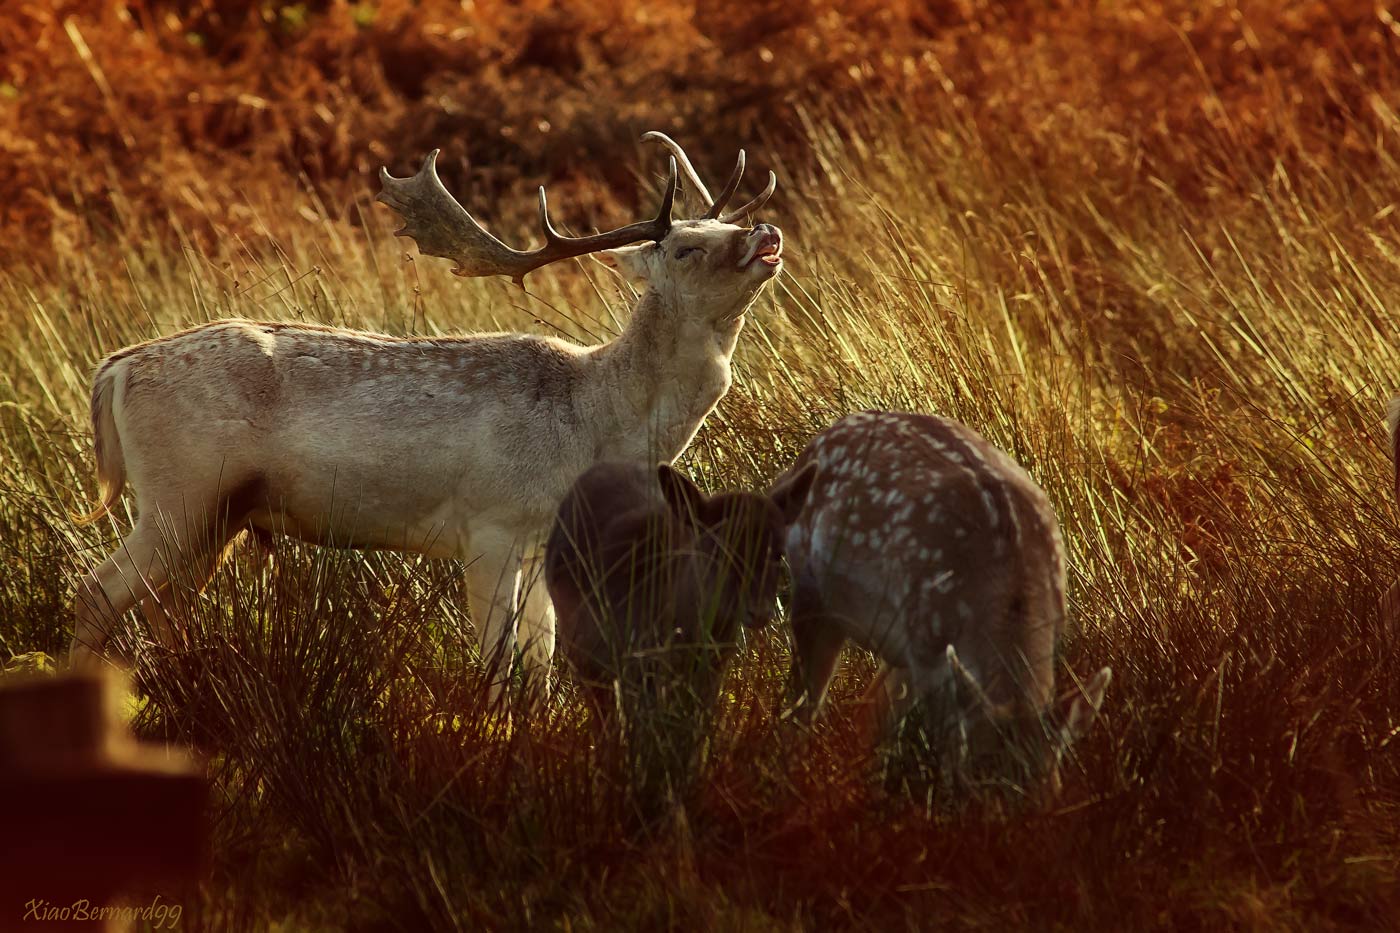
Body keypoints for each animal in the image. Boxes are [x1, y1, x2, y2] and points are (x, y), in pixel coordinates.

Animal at [68, 134, 789, 706]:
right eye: (685, 248)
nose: (765, 234)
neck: (596, 423)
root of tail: (115, 370)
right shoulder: (491, 521)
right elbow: (497, 664)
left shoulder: (544, 543)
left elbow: (541, 664)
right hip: (180, 491)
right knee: (97, 591)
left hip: (221, 513)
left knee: (162, 606)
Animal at [778, 411, 1114, 790]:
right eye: (980, 784)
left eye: (1053, 791)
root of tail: (809, 450)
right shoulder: (929, 650)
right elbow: (948, 751)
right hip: (815, 594)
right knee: (803, 707)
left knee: (868, 714)